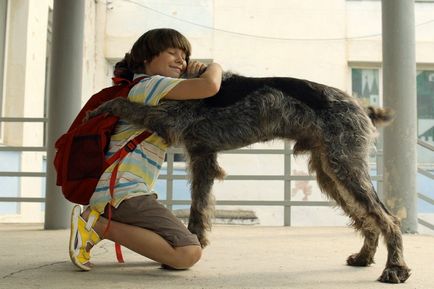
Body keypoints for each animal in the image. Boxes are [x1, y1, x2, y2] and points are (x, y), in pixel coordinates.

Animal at [87, 71, 410, 282]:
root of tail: (360, 105)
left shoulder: (171, 121)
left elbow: (127, 105)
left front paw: (104, 106)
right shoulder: (203, 156)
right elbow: (198, 208)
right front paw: (196, 241)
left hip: (345, 166)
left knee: (387, 218)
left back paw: (395, 268)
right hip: (330, 171)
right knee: (368, 218)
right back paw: (364, 256)